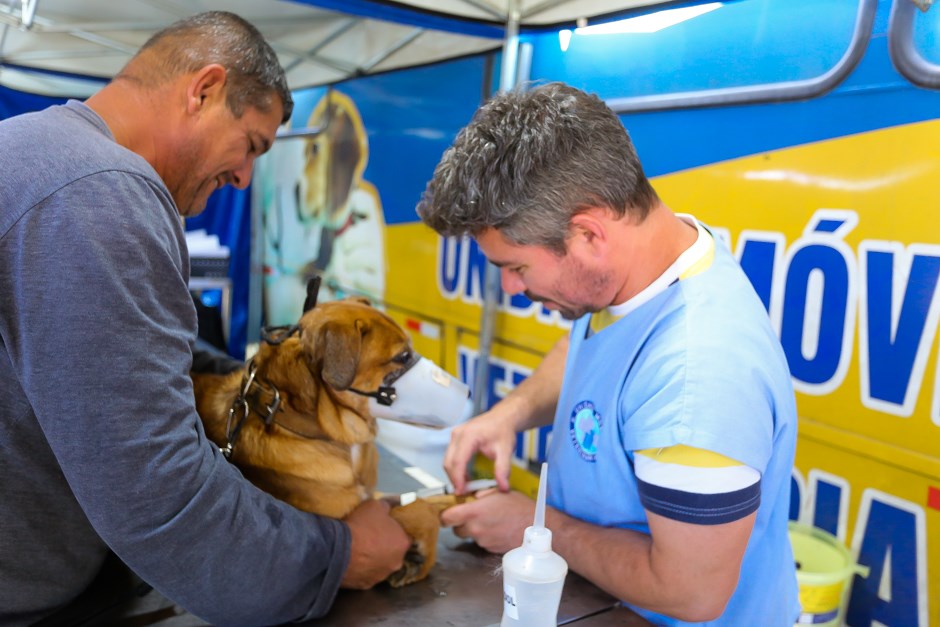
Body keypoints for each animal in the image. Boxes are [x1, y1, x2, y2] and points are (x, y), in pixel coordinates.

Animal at [190, 296, 452, 588]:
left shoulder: (371, 494)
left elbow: (426, 502)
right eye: (402, 357)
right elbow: (417, 509)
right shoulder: (352, 519)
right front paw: (421, 555)